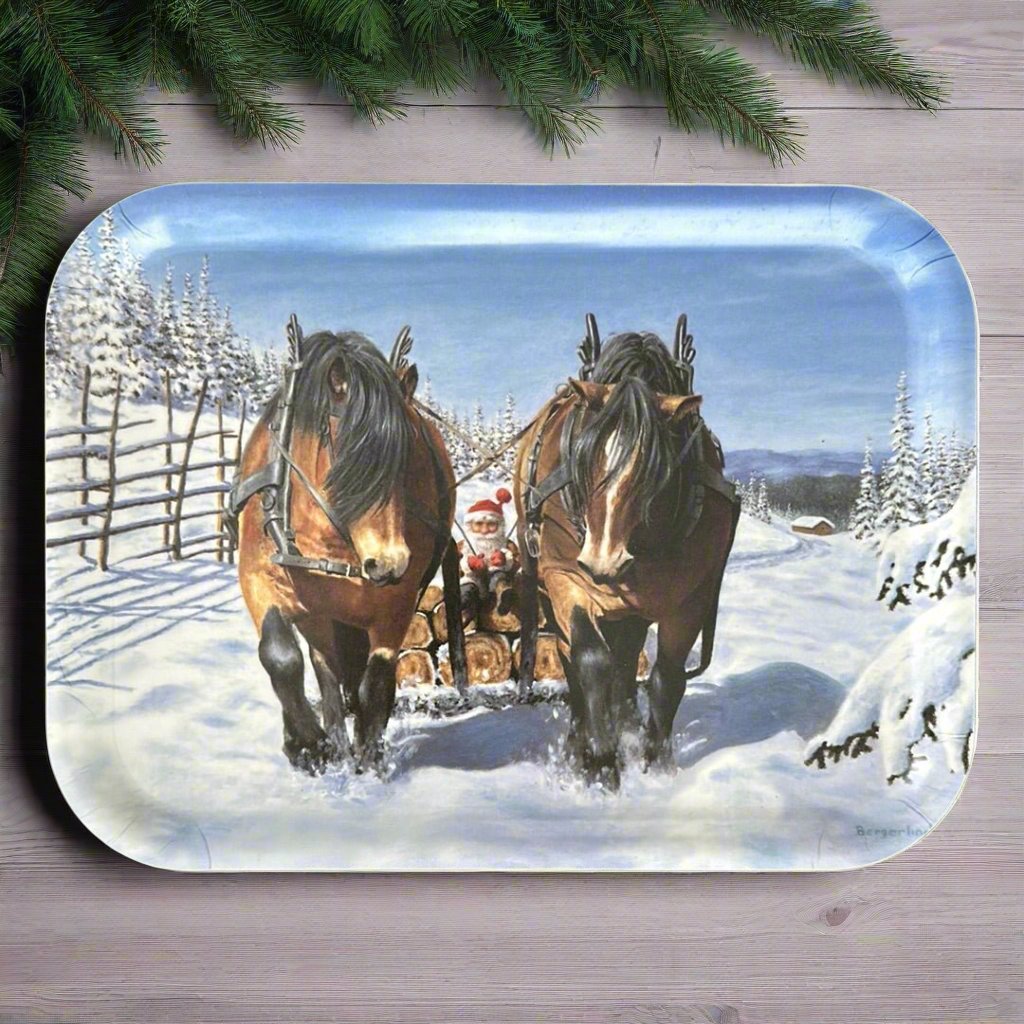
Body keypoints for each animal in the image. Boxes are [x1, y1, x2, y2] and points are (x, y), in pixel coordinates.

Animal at [236, 327, 456, 773]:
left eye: (411, 458)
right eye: (353, 455)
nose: (389, 563)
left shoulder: (395, 602)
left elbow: (377, 680)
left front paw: (369, 757)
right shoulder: (260, 577)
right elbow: (281, 656)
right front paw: (309, 743)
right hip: (319, 614)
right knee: (325, 670)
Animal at [514, 316, 740, 788]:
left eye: (658, 468)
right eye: (583, 456)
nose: (604, 561)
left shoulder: (689, 599)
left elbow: (666, 678)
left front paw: (655, 762)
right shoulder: (566, 579)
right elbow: (590, 661)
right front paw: (600, 761)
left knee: (627, 659)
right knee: (575, 659)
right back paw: (582, 739)